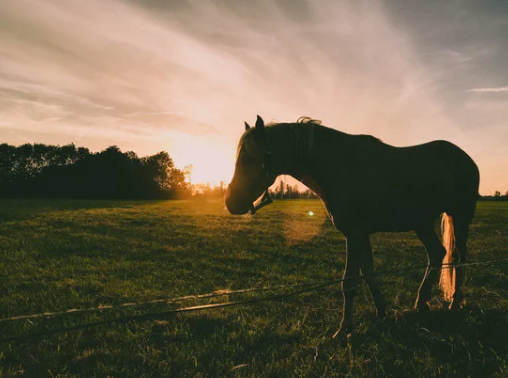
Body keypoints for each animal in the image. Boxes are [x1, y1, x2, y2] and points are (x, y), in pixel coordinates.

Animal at [226, 115, 480, 336]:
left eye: (248, 158)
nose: (230, 202)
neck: (340, 166)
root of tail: (465, 158)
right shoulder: (361, 235)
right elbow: (368, 274)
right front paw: (382, 313)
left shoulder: (354, 234)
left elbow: (349, 282)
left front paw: (344, 329)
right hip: (422, 223)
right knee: (437, 253)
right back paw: (421, 303)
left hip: (460, 217)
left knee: (459, 258)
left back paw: (454, 302)